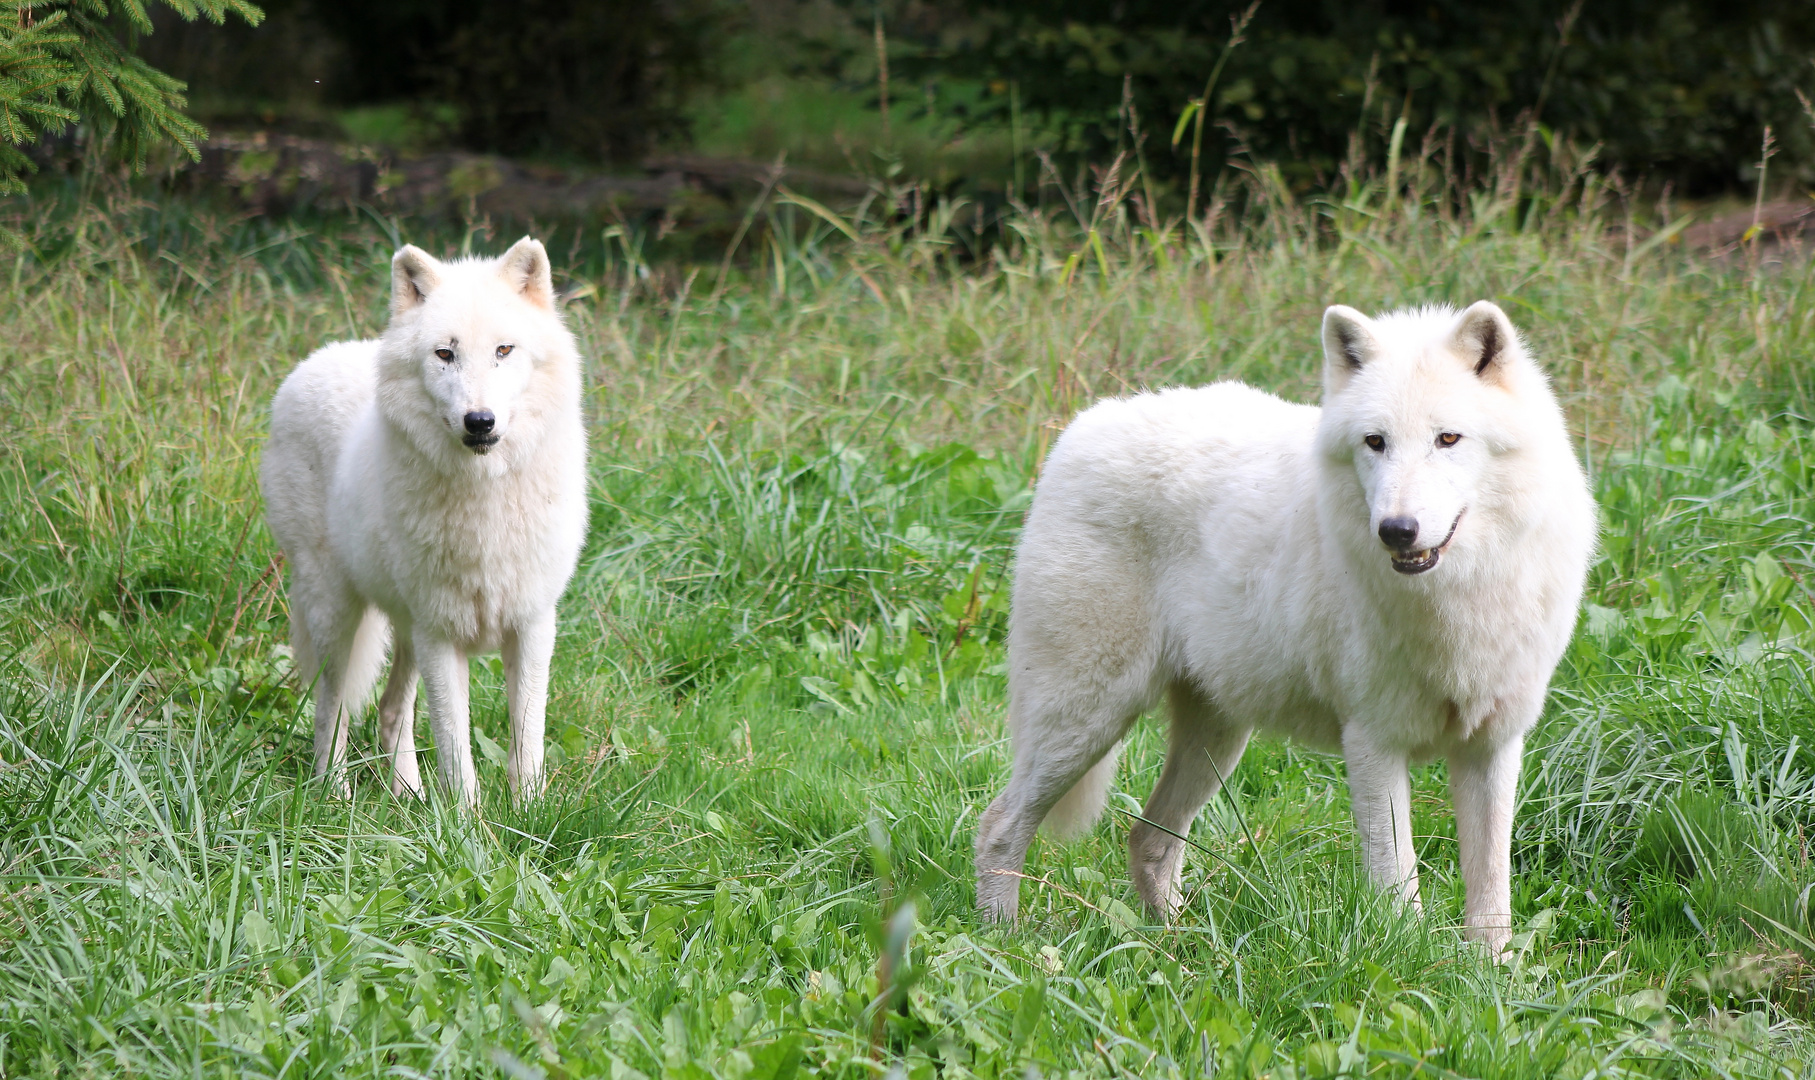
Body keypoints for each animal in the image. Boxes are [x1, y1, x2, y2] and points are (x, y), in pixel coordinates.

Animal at [263, 239, 584, 813]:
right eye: (444, 354)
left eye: (504, 350)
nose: (480, 421)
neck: (485, 501)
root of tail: (314, 360)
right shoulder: (440, 633)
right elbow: (455, 744)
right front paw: (468, 824)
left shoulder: (532, 624)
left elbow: (528, 735)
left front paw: (528, 814)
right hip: (338, 615)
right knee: (330, 710)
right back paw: (335, 795)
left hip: (404, 628)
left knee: (391, 712)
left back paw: (407, 797)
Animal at [972, 301, 1597, 943]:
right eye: (1375, 442)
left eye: (1448, 438)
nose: (1396, 530)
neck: (1457, 596)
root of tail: (1081, 428)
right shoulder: (1373, 740)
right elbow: (1397, 886)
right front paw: (1404, 959)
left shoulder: (1493, 745)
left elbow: (1491, 896)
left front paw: (1490, 971)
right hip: (1088, 719)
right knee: (1000, 824)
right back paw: (1005, 943)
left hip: (1214, 741)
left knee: (1147, 837)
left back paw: (1182, 947)